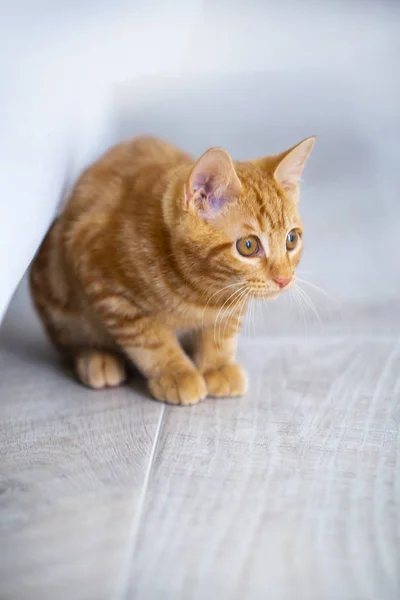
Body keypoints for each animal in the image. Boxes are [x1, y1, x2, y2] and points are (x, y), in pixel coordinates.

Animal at [29, 135, 314, 408]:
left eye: (291, 240)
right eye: (248, 246)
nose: (284, 279)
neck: (202, 289)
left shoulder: (232, 302)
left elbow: (222, 331)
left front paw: (217, 365)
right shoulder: (105, 284)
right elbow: (150, 338)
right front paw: (177, 373)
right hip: (55, 282)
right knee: (68, 341)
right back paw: (95, 357)